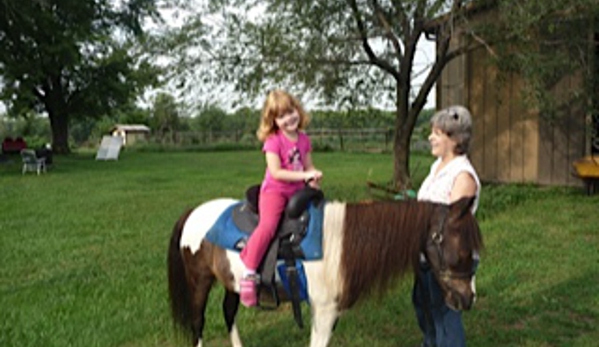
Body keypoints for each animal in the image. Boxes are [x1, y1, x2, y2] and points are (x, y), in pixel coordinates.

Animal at [168, 197, 482, 346]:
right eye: (463, 251)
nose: (468, 299)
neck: (340, 244)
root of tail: (193, 212)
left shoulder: (330, 313)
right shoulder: (323, 311)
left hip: (232, 282)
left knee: (229, 312)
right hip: (199, 282)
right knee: (198, 322)